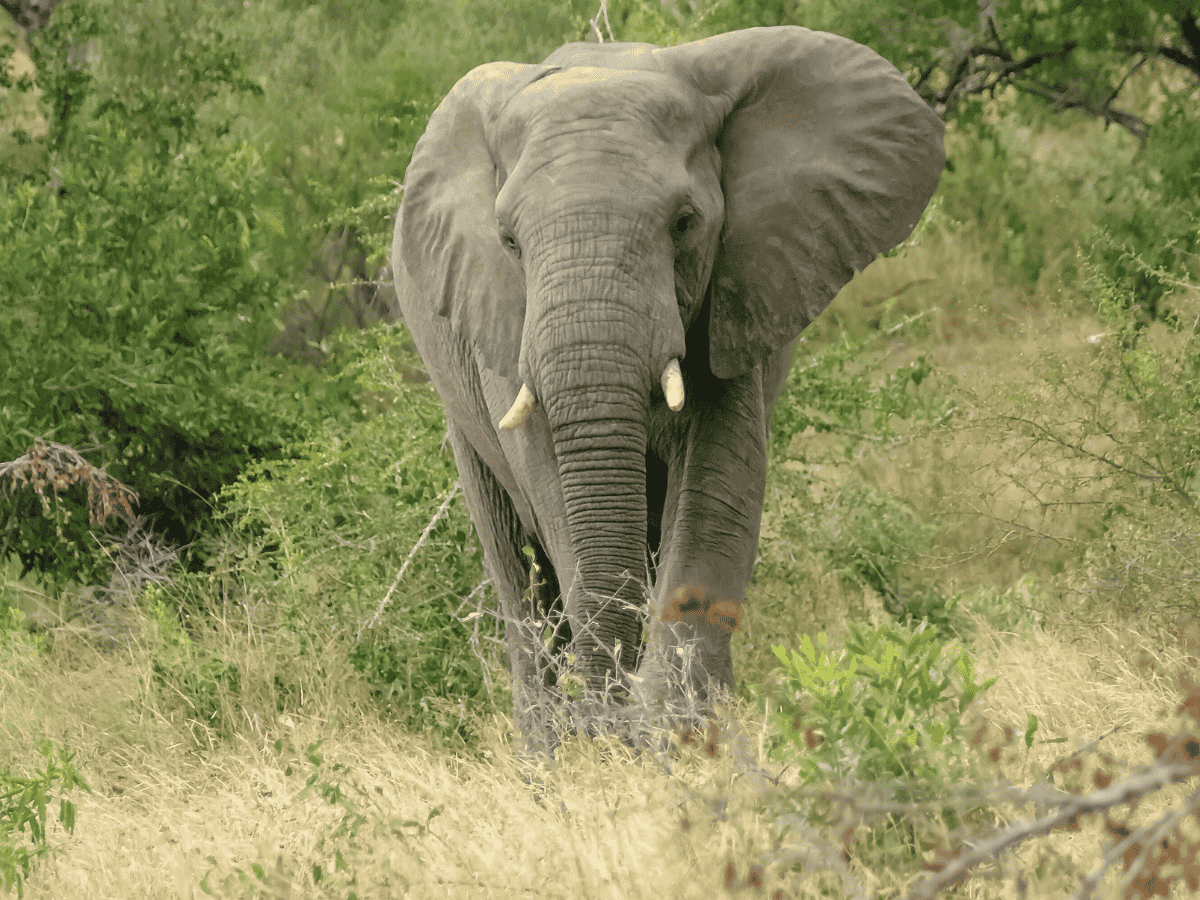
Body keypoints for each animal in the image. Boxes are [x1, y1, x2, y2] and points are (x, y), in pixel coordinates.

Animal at [391, 25, 944, 749]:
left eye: (685, 222)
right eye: (508, 241)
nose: (605, 721)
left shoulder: (740, 288)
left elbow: (717, 491)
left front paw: (679, 735)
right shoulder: (504, 326)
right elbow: (555, 498)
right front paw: (626, 742)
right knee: (515, 569)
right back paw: (545, 753)